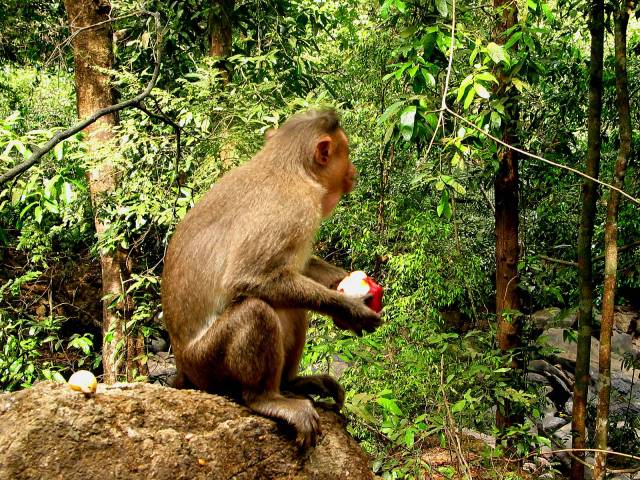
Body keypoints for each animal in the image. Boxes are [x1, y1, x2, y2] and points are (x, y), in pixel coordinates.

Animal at [162, 109, 382, 446]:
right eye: (346, 153)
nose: (354, 171)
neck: (288, 166)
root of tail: (182, 367)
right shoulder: (295, 208)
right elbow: (247, 278)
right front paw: (352, 310)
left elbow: (296, 269)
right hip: (205, 365)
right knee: (257, 310)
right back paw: (265, 398)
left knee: (292, 306)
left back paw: (294, 383)